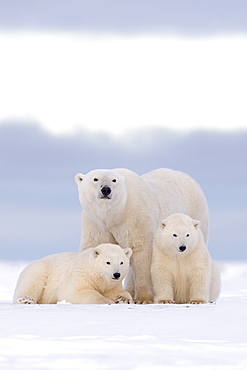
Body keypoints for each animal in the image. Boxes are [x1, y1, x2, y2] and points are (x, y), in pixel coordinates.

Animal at [75, 168, 208, 304]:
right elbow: (96, 245)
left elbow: (142, 253)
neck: (115, 214)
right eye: (95, 179)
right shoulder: (96, 223)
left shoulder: (136, 217)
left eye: (114, 180)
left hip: (195, 214)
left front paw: (143, 299)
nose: (106, 190)